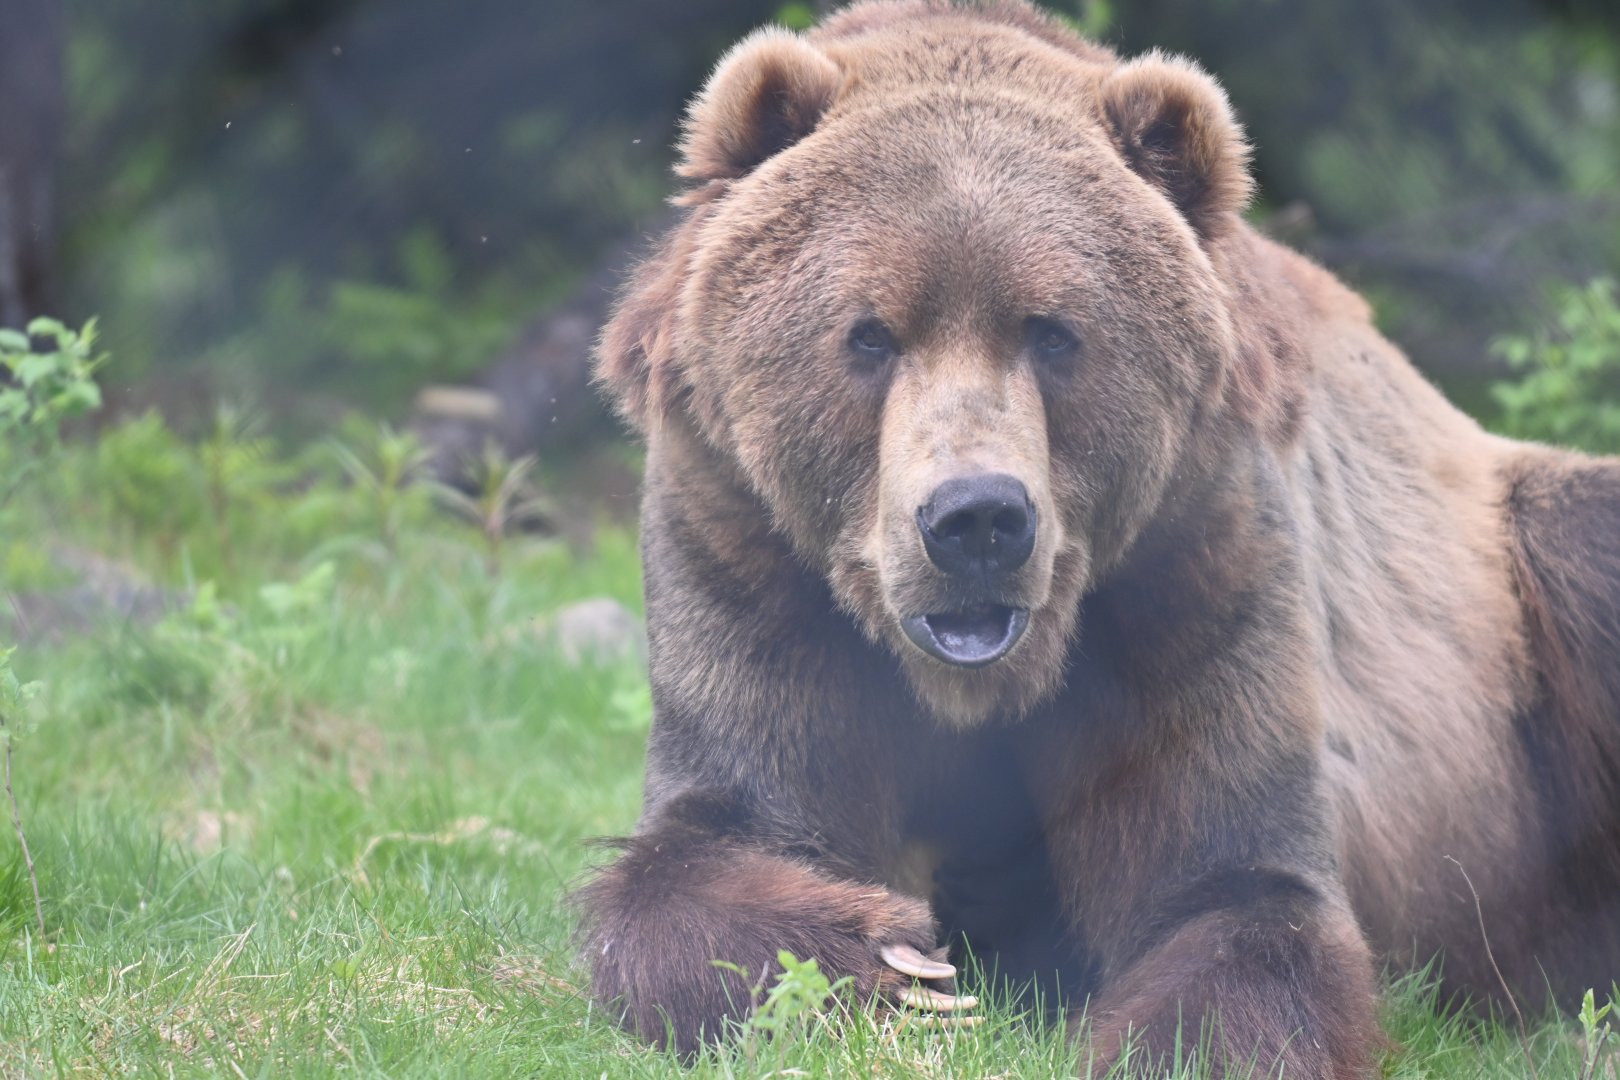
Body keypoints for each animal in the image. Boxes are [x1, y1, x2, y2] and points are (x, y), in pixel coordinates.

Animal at [577, 1, 1620, 1075]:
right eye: (869, 334)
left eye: (1053, 331)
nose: (977, 520)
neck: (980, 686)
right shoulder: (746, 550)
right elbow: (718, 837)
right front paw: (899, 974)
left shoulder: (1193, 565)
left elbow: (1233, 882)